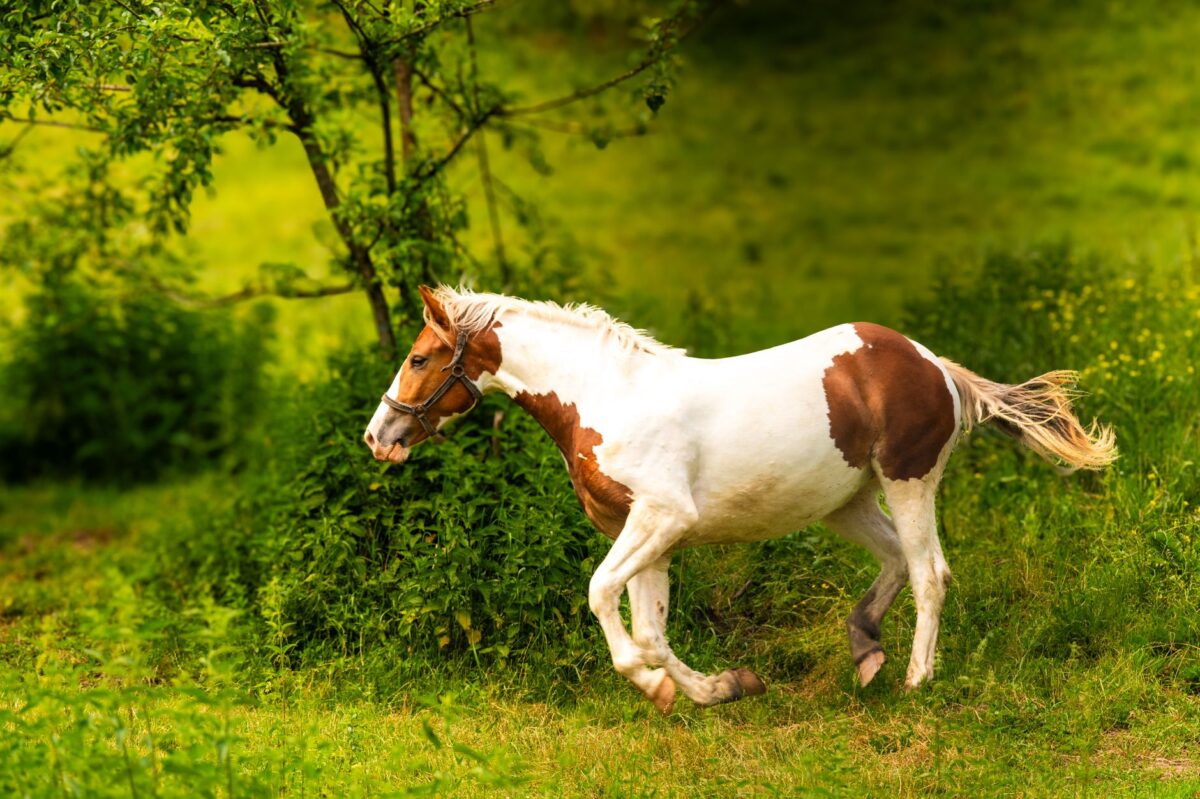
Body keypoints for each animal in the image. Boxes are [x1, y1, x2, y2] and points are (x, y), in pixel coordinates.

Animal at [364, 286, 1116, 713]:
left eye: (421, 357)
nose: (379, 435)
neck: (606, 396)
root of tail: (934, 364)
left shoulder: (661, 517)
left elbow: (603, 598)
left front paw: (656, 686)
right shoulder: (649, 534)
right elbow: (651, 628)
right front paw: (716, 688)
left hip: (909, 481)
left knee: (931, 573)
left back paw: (915, 681)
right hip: (845, 500)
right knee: (899, 563)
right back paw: (866, 653)